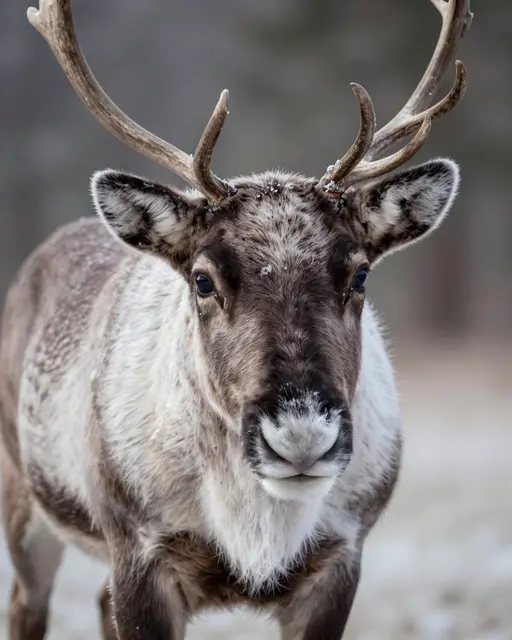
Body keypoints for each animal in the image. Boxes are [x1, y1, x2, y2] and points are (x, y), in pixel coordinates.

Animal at [0, 0, 472, 638]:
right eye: (203, 279)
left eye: (359, 275)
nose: (301, 435)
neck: (257, 533)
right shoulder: (139, 549)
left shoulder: (342, 555)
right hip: (26, 502)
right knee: (26, 604)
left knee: (96, 600)